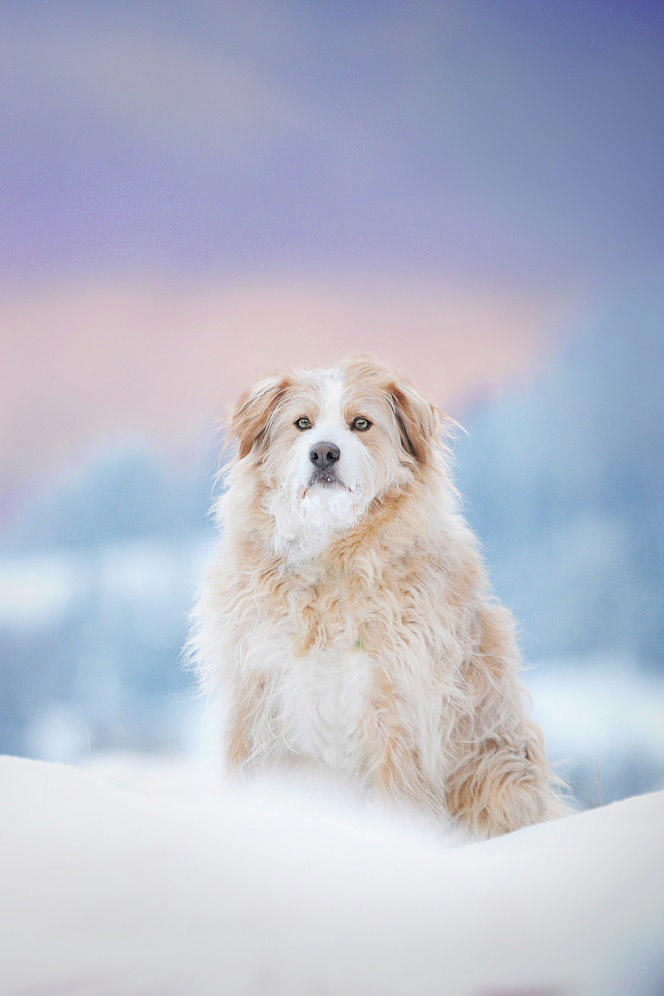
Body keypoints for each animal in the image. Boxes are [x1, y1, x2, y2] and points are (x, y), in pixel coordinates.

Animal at [189, 354, 568, 836]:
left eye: (361, 424)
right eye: (303, 423)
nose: (324, 452)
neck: (328, 564)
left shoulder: (397, 701)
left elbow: (398, 790)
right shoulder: (255, 690)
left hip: (498, 775)